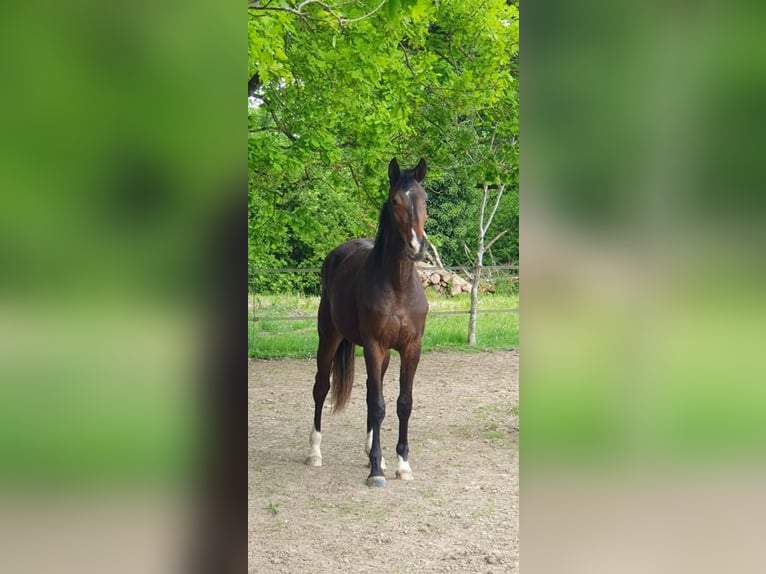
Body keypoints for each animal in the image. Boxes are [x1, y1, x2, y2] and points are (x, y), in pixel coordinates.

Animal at [305, 157, 430, 488]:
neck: (398, 286)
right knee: (321, 388)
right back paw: (315, 452)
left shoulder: (411, 348)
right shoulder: (374, 346)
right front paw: (376, 471)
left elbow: (402, 403)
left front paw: (401, 464)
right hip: (329, 338)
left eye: (424, 199)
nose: (417, 246)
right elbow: (378, 404)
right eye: (396, 201)